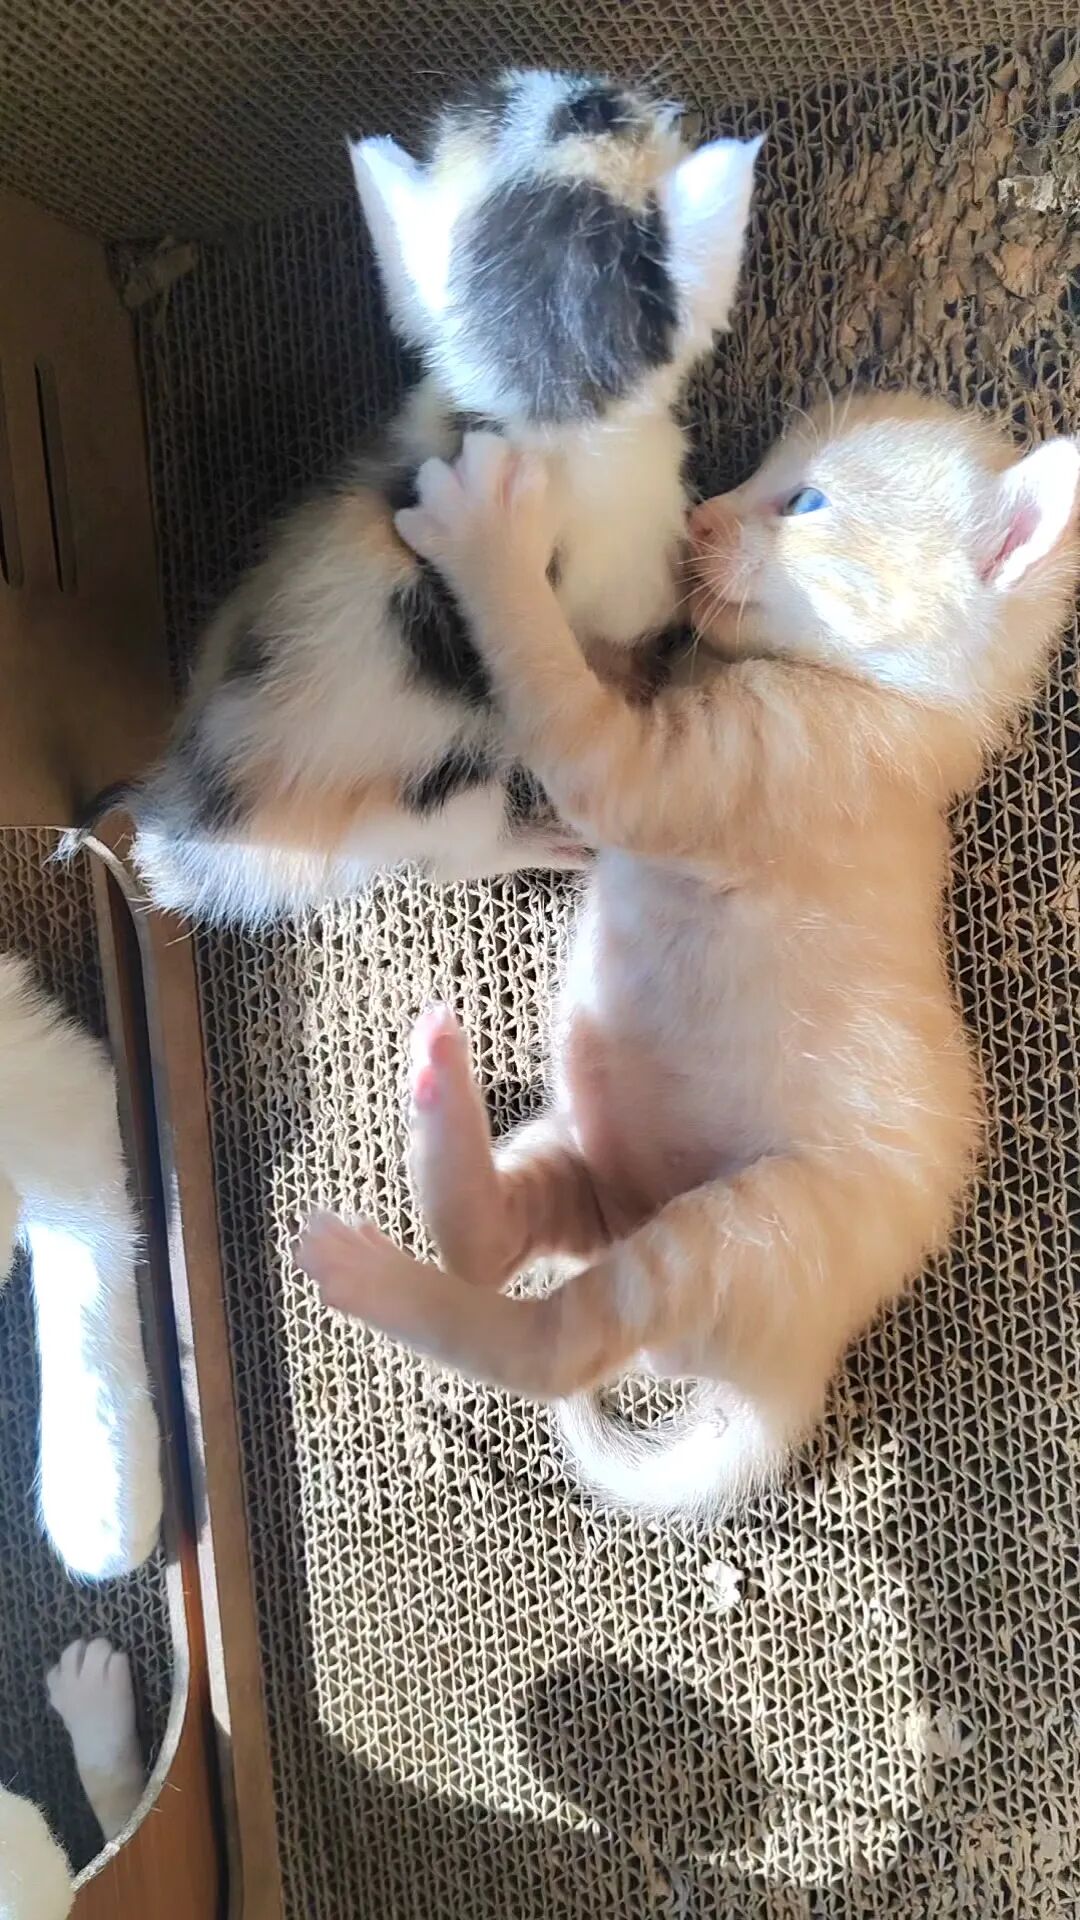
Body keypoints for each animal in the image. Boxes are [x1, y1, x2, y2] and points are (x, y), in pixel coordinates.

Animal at [84, 70, 760, 925]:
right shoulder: (627, 570)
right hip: (453, 792)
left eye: (507, 115)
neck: (522, 413)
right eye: (599, 121)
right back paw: (545, 844)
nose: (586, 91)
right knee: (451, 863)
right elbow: (638, 617)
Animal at [296, 396, 1080, 1518]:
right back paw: (444, 1112)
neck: (885, 705)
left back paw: (381, 1272)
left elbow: (561, 699)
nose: (698, 516)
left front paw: (494, 544)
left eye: (805, 501)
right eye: (763, 472)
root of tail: (788, 1380)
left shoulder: (679, 769)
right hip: (579, 1154)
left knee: (556, 1344)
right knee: (498, 1242)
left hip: (745, 1235)